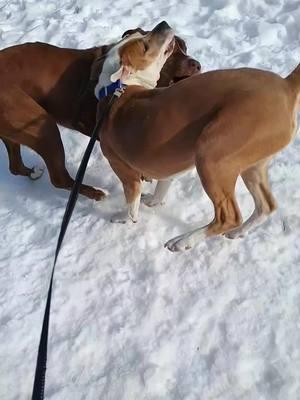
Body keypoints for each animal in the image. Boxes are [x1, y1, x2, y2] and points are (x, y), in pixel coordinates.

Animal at [95, 23, 300, 252]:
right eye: (144, 41)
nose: (163, 24)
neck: (120, 90)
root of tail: (287, 86)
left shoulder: (124, 170)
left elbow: (132, 204)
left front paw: (124, 218)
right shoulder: (167, 163)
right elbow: (162, 186)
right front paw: (153, 201)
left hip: (212, 156)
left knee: (229, 216)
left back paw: (184, 241)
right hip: (253, 164)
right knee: (266, 206)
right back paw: (238, 232)